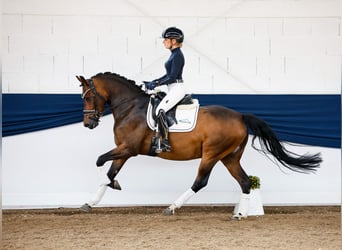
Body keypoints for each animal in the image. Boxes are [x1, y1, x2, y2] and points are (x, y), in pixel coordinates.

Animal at [76, 72, 322, 219]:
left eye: (87, 97)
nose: (88, 123)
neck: (130, 107)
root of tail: (240, 116)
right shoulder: (124, 151)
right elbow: (110, 170)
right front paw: (91, 201)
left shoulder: (129, 149)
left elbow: (100, 162)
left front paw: (111, 185)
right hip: (229, 157)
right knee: (244, 181)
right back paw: (240, 215)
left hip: (211, 154)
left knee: (201, 181)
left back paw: (172, 207)